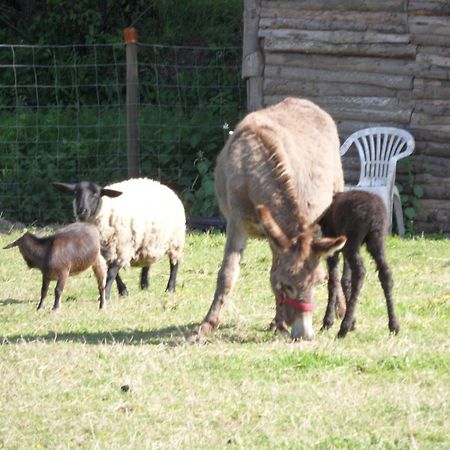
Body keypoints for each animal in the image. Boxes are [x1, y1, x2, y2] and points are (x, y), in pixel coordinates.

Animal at [53, 178, 186, 300]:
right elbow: (112, 273)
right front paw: (123, 291)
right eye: (75, 193)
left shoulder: (122, 247)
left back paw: (170, 288)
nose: (82, 211)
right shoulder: (105, 252)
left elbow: (112, 273)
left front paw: (105, 295)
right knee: (147, 261)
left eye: (95, 194)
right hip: (147, 240)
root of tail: (161, 184)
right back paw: (144, 284)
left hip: (175, 240)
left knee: (174, 264)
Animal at [318, 189, 400, 338]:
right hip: (376, 240)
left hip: (353, 240)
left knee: (360, 273)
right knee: (385, 273)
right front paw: (353, 323)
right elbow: (345, 279)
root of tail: (374, 215)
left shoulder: (333, 244)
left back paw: (343, 328)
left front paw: (327, 323)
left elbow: (333, 280)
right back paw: (394, 326)